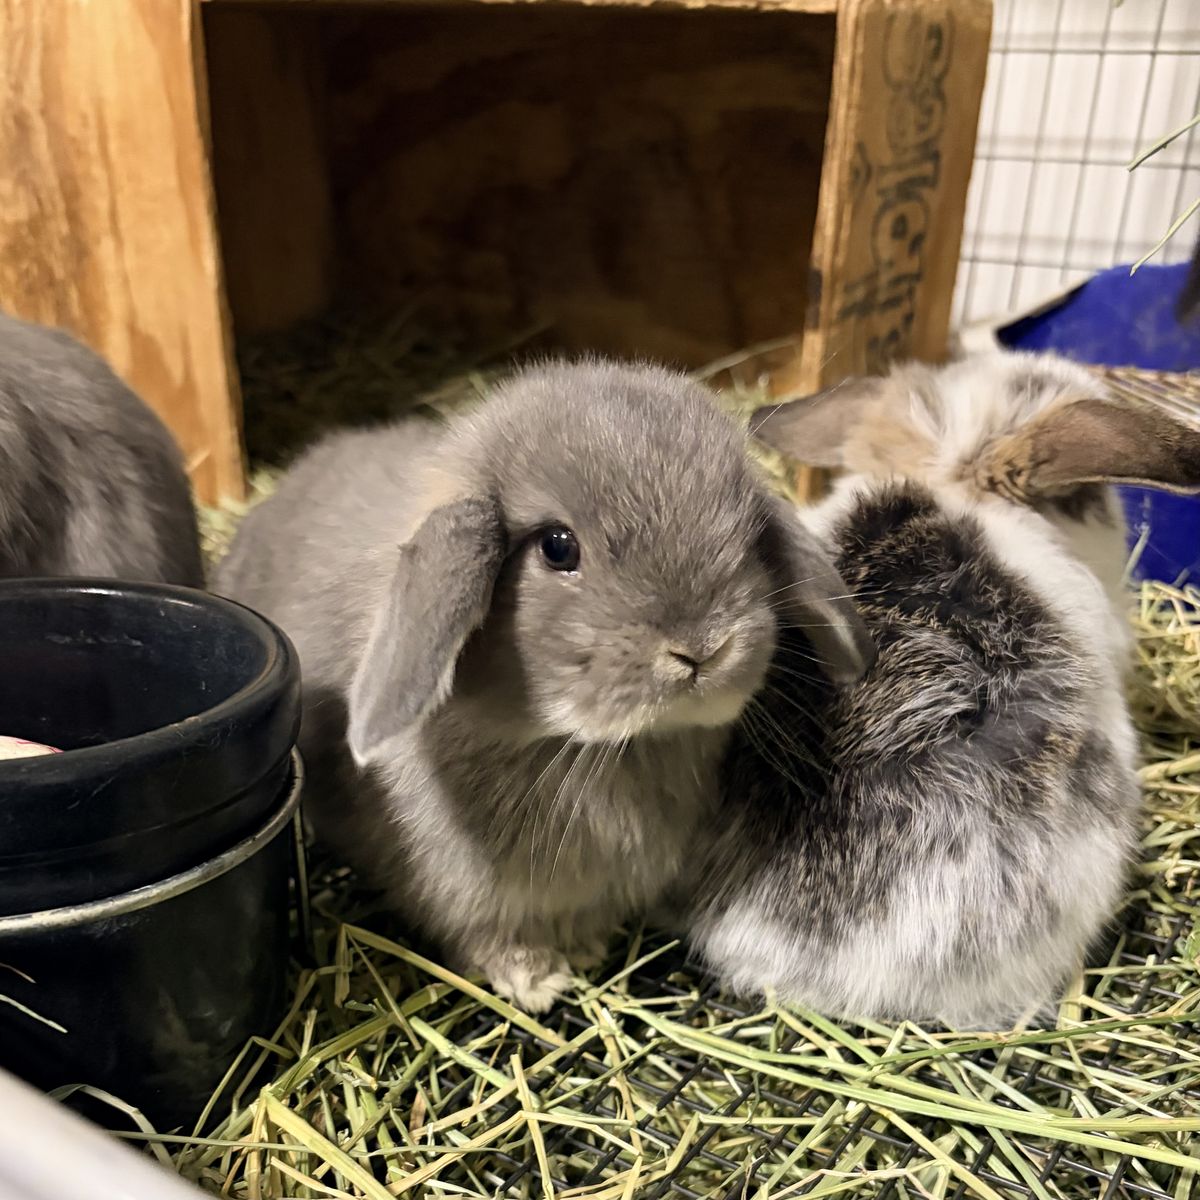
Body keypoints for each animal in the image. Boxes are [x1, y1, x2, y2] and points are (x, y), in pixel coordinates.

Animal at [215, 358, 874, 1011]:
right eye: (557, 547)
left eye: (749, 538)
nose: (704, 648)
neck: (587, 750)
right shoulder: (460, 893)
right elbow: (488, 937)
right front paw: (535, 982)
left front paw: (583, 950)